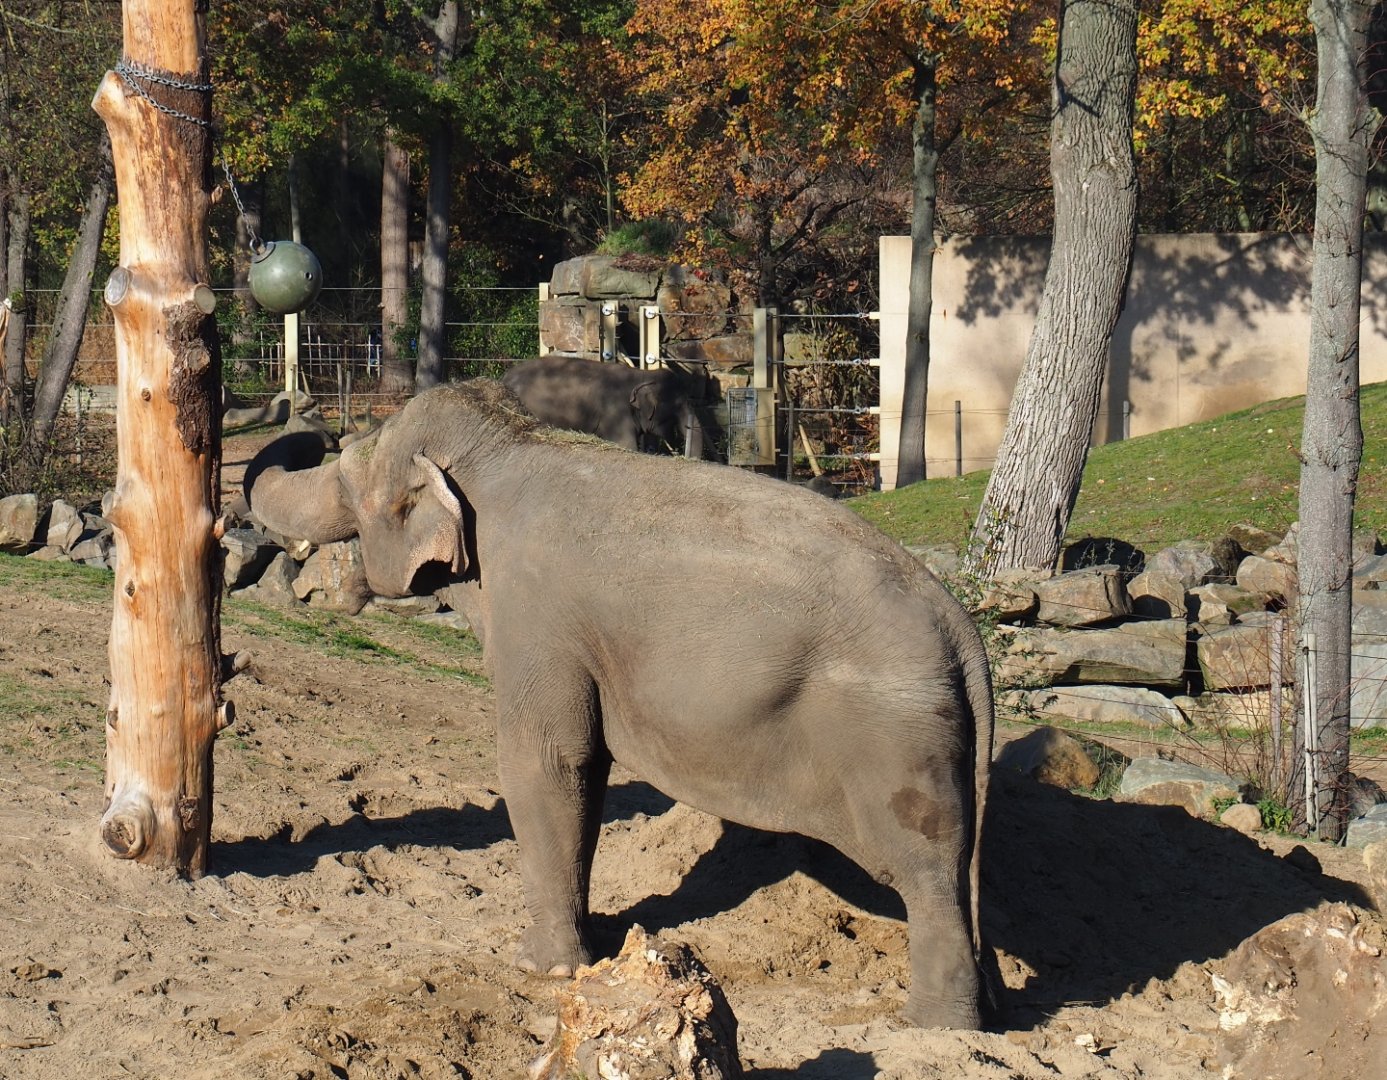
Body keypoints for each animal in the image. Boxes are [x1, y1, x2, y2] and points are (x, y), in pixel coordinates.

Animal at [243, 379, 994, 1029]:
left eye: (345, 475)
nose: (312, 422)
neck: (515, 441)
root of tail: (960, 627)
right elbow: (587, 771)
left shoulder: (536, 616)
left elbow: (545, 762)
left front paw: (541, 967)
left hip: (892, 740)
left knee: (925, 873)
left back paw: (932, 1027)